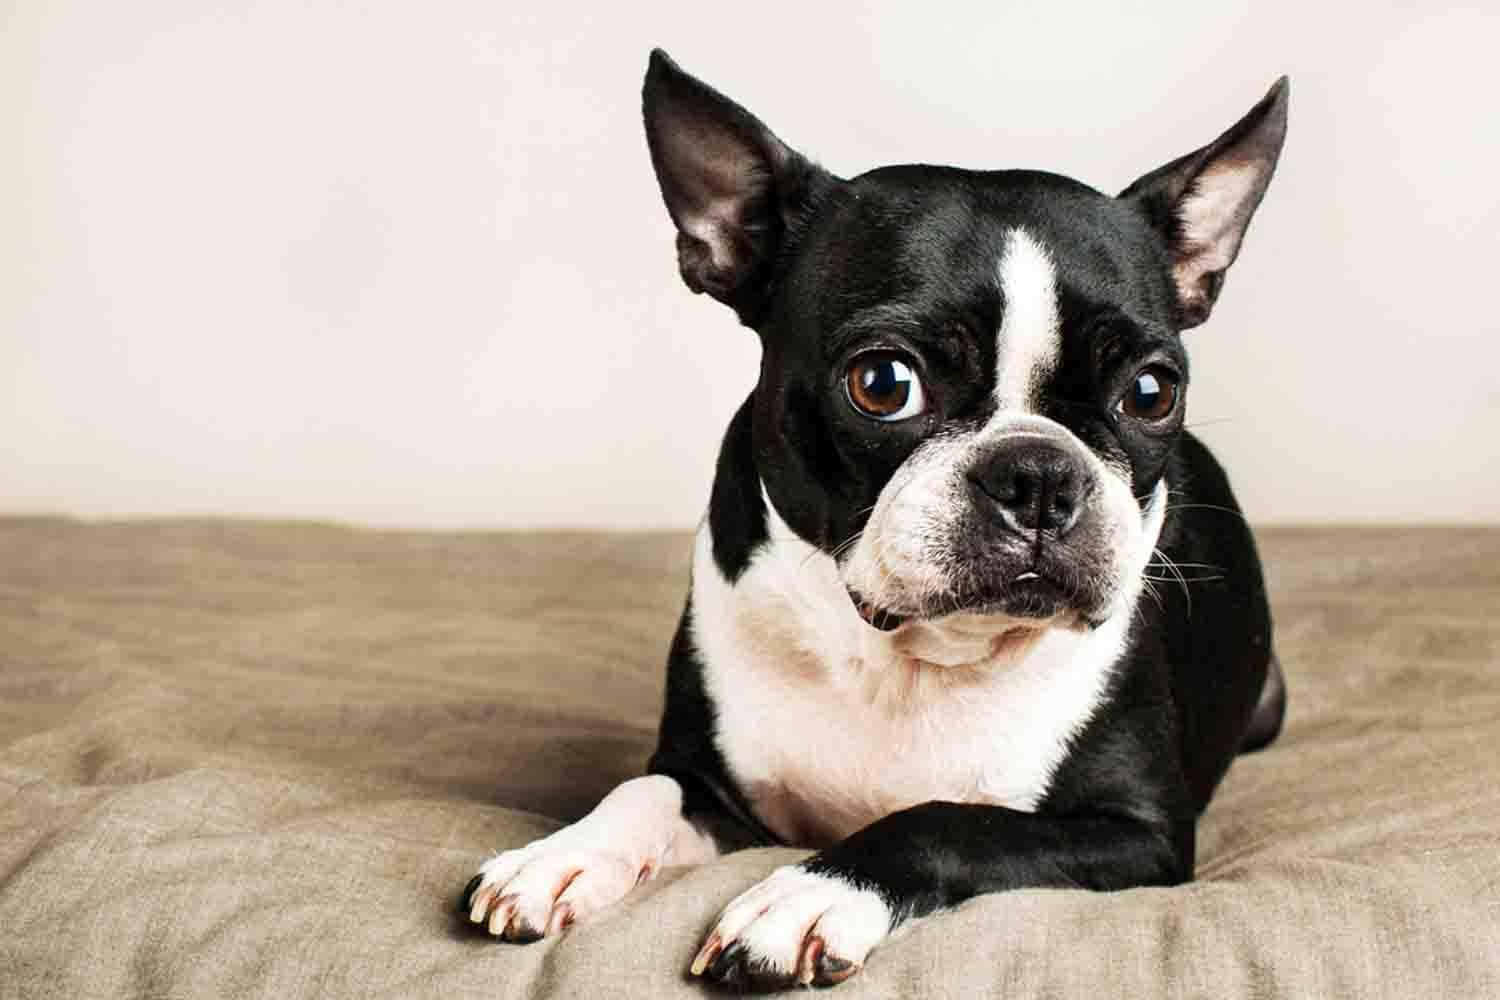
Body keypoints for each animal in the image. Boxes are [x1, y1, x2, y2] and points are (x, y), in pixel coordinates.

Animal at [459, 50, 1290, 989]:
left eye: (1152, 392)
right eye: (883, 384)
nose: (1039, 474)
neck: (911, 662)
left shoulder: (1141, 834)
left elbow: (941, 820)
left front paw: (809, 895)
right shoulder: (712, 786)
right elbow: (644, 790)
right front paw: (562, 855)